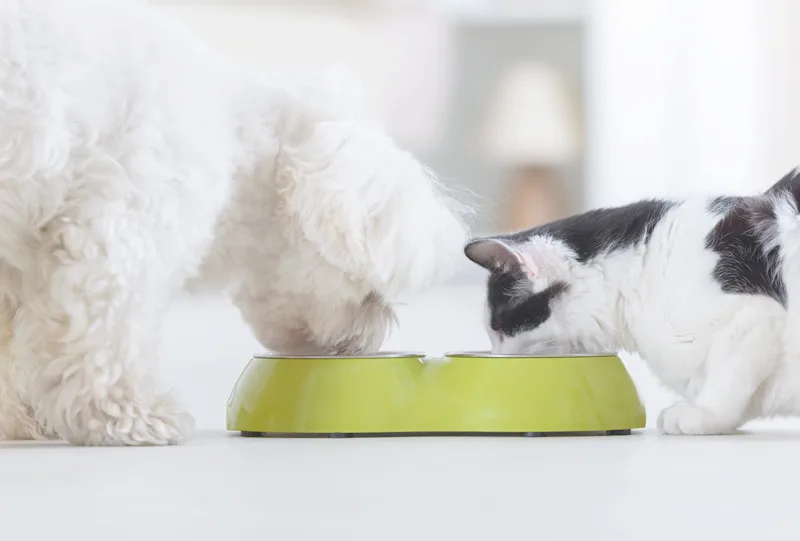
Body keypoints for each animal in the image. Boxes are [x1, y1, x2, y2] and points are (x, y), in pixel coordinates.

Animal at [0, 1, 468, 442]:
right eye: (371, 294)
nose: (371, 340)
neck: (237, 134)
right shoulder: (122, 232)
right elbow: (106, 337)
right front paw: (134, 417)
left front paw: (17, 420)